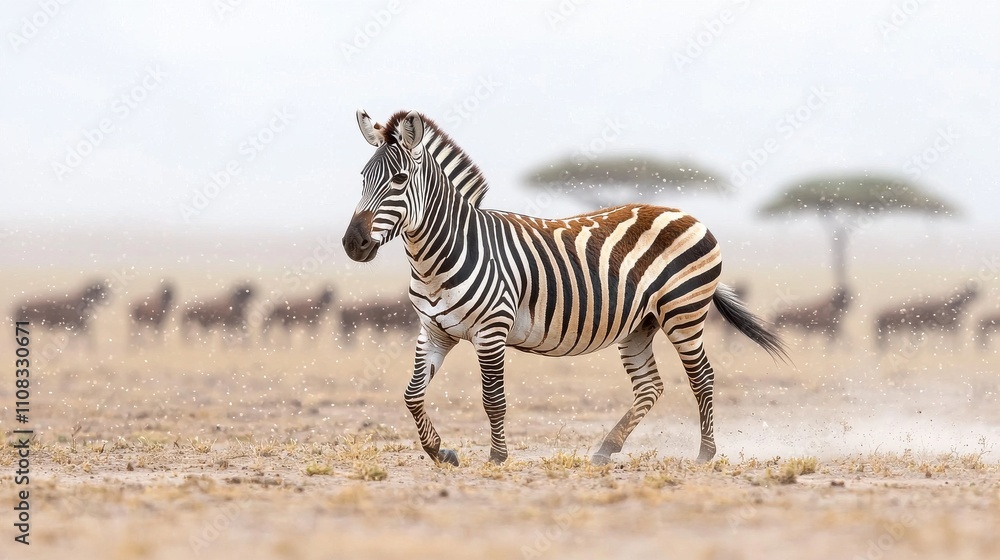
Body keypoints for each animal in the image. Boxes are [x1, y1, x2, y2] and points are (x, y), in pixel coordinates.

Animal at [342, 110, 787, 466]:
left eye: (399, 179)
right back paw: (606, 449)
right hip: (639, 324)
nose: (352, 243)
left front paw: (498, 457)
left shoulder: (491, 330)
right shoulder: (433, 331)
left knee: (702, 378)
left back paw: (705, 454)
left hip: (684, 312)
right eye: (362, 179)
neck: (437, 258)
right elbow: (412, 395)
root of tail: (686, 213)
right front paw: (441, 451)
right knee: (650, 386)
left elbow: (493, 399)